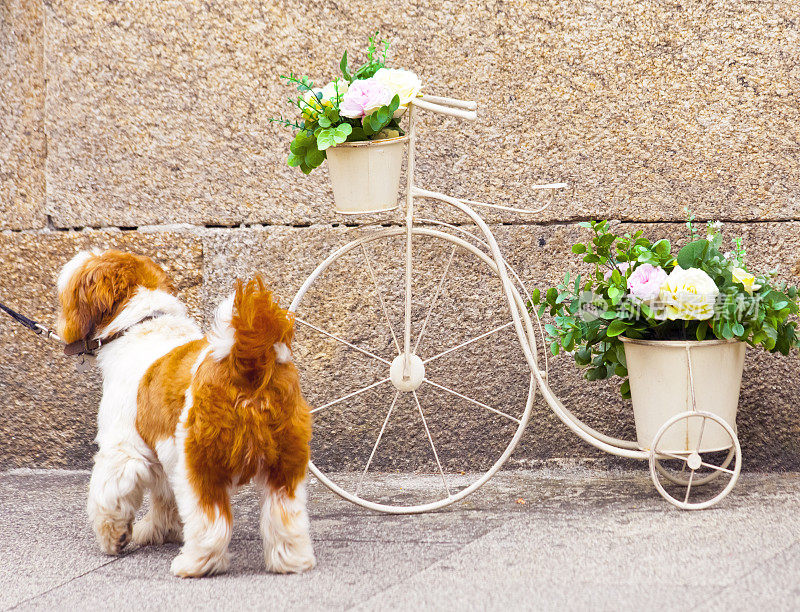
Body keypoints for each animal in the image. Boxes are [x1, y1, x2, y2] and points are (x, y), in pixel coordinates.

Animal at [56, 249, 316, 580]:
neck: (140, 325)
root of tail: (245, 362)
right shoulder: (163, 452)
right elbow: (164, 499)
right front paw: (158, 529)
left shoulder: (123, 451)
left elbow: (108, 497)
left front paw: (113, 537)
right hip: (284, 461)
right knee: (284, 514)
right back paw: (291, 560)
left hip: (199, 463)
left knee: (211, 521)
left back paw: (196, 563)